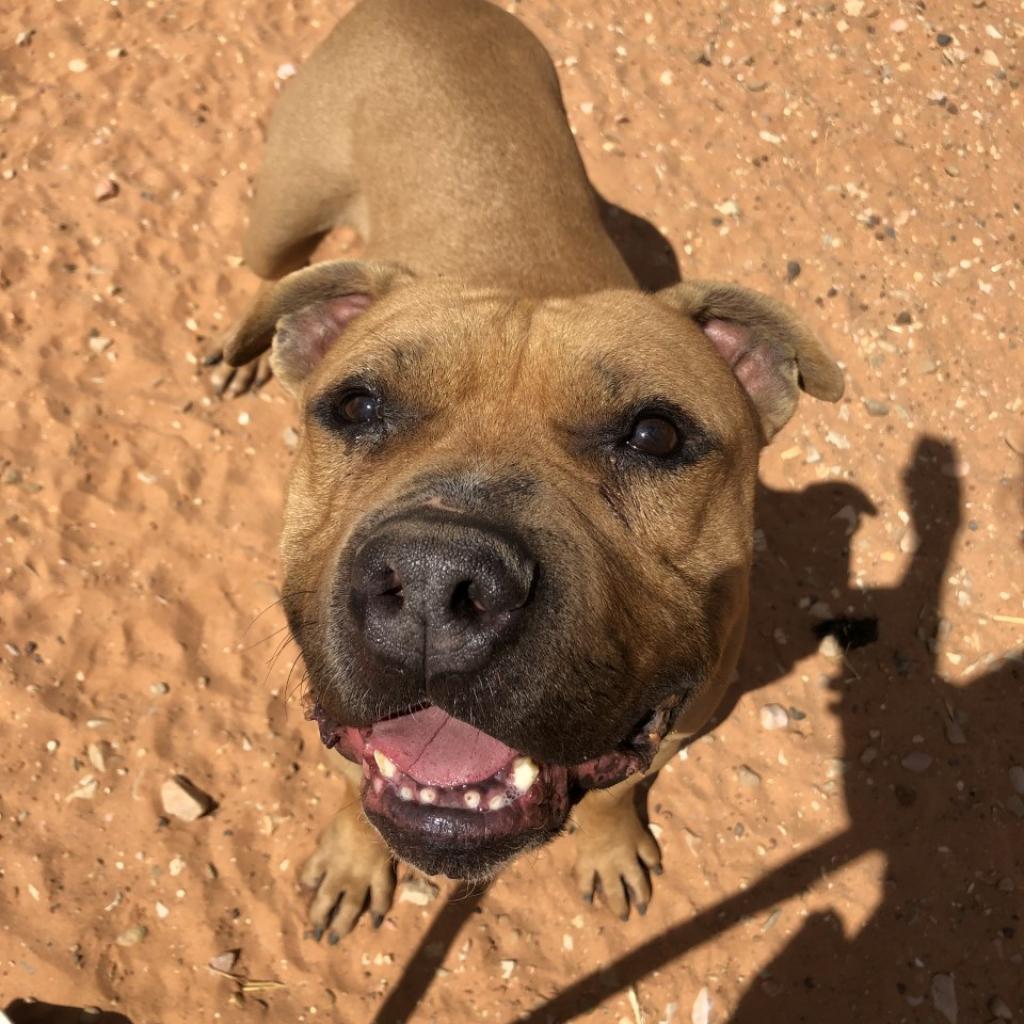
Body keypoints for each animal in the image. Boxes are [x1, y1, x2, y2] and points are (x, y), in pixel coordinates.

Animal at [220, 0, 843, 942]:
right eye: (356, 407)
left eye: (656, 434)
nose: (436, 580)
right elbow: (354, 780)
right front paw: (354, 859)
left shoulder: (679, 724)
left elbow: (617, 793)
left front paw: (610, 846)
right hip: (280, 217)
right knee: (262, 273)